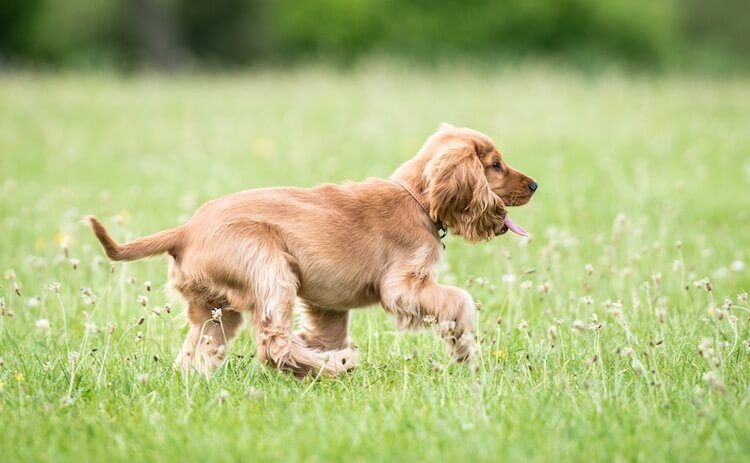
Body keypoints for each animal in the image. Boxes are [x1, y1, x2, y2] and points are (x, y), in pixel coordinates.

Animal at [89, 124, 536, 376]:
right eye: (495, 165)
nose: (534, 185)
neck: (416, 199)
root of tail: (184, 231)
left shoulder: (328, 305)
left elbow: (327, 330)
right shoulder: (404, 286)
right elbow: (460, 302)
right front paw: (465, 352)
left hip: (216, 309)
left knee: (197, 351)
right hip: (267, 265)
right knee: (273, 345)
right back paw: (338, 365)